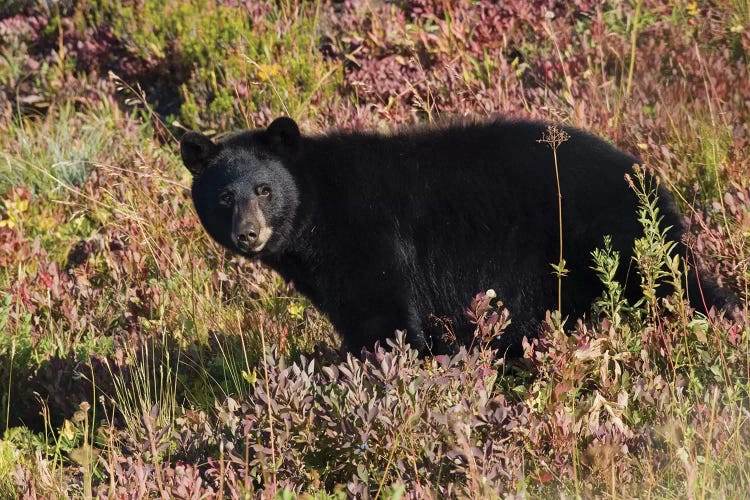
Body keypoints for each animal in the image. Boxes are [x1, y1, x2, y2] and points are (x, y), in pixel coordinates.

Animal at [181, 118, 736, 356]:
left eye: (264, 189)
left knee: (670, 284)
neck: (318, 211)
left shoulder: (370, 237)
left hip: (605, 238)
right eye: (224, 197)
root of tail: (647, 179)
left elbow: (382, 316)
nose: (248, 234)